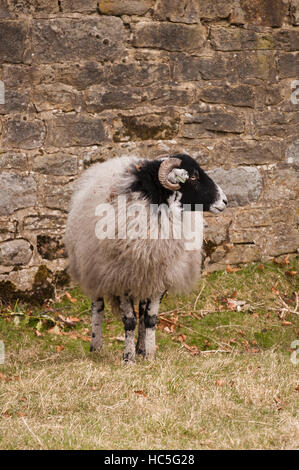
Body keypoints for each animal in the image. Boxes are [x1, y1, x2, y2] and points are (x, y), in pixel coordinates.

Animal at [63, 154, 227, 364]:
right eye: (193, 177)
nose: (224, 201)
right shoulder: (120, 278)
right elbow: (129, 320)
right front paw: (128, 359)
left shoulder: (159, 277)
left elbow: (150, 319)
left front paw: (149, 356)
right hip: (94, 269)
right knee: (97, 308)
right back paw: (96, 348)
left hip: (144, 278)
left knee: (141, 311)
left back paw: (140, 348)